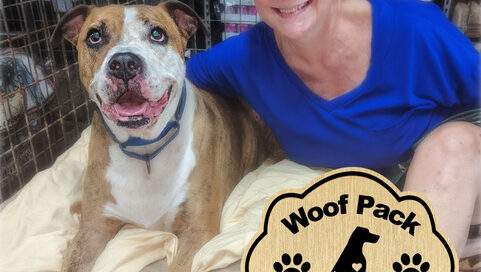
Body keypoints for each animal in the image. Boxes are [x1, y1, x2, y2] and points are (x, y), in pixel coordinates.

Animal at [50, 2, 280, 272]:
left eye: (157, 34)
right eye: (94, 36)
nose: (124, 62)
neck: (145, 150)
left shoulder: (197, 231)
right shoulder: (92, 230)